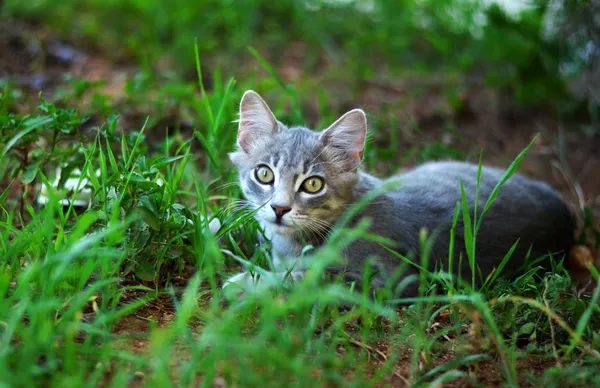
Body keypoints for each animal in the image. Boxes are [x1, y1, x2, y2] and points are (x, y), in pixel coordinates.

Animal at [223, 90, 576, 298]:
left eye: (312, 185)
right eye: (264, 174)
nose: (280, 209)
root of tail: (566, 210)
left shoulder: (389, 280)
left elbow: (308, 279)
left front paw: (247, 283)